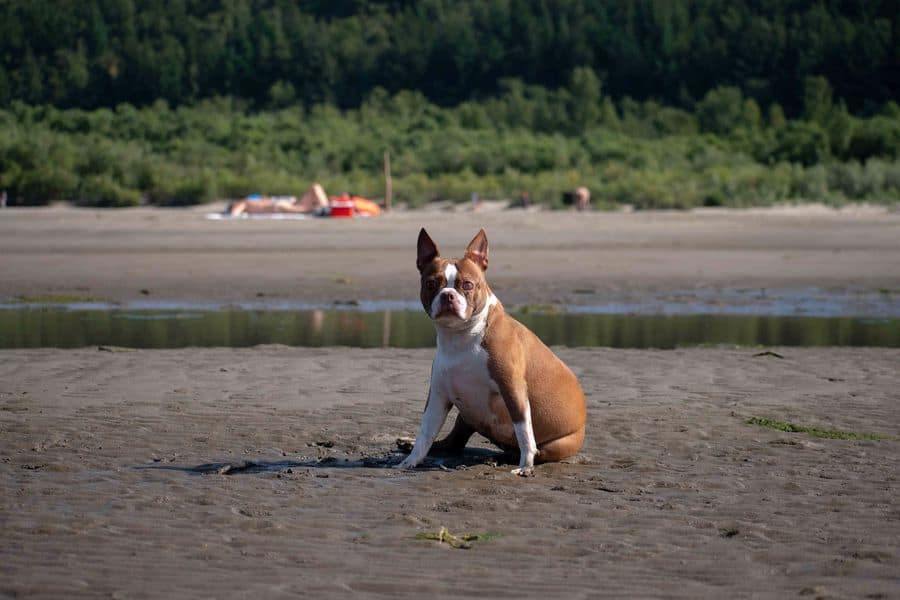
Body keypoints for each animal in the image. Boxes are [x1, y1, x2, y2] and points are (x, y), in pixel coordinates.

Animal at [398, 227, 588, 476]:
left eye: (467, 285)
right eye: (430, 284)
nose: (447, 295)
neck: (462, 337)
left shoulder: (513, 390)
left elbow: (524, 431)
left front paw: (525, 465)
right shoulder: (438, 396)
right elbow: (425, 433)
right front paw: (411, 459)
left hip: (559, 443)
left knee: (535, 449)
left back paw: (510, 457)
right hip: (466, 414)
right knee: (453, 442)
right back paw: (410, 445)